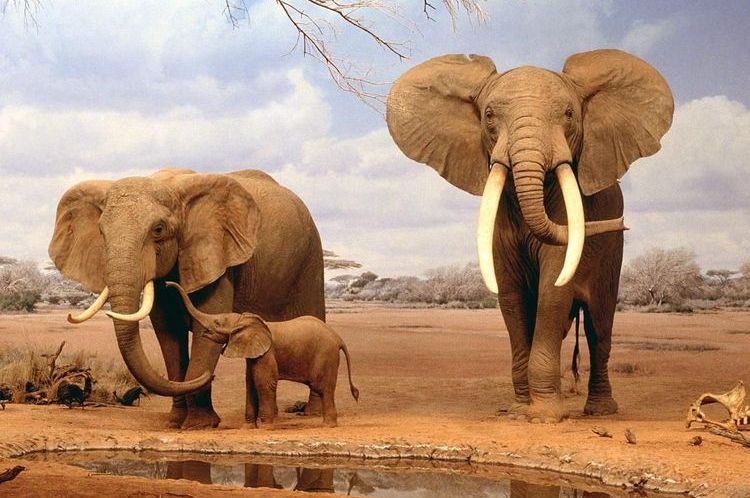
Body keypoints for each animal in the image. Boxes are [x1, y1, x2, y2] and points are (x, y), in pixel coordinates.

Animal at [49, 168, 325, 429]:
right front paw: (175, 423)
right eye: (101, 232)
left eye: (158, 230)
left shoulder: (216, 257)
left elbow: (206, 326)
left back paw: (312, 413)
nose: (210, 376)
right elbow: (168, 333)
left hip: (311, 257)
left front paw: (199, 425)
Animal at [168, 281, 359, 428]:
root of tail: (338, 338)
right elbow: (250, 383)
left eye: (217, 322)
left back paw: (328, 425)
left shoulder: (267, 353)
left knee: (323, 388)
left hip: (326, 355)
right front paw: (248, 428)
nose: (167, 284)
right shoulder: (253, 354)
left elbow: (264, 383)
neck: (245, 320)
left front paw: (266, 427)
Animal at [386, 49, 673, 422]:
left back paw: (600, 411)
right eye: (489, 115)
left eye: (569, 114)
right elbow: (511, 296)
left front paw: (544, 417)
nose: (622, 223)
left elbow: (554, 289)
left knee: (599, 327)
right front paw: (518, 410)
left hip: (613, 253)